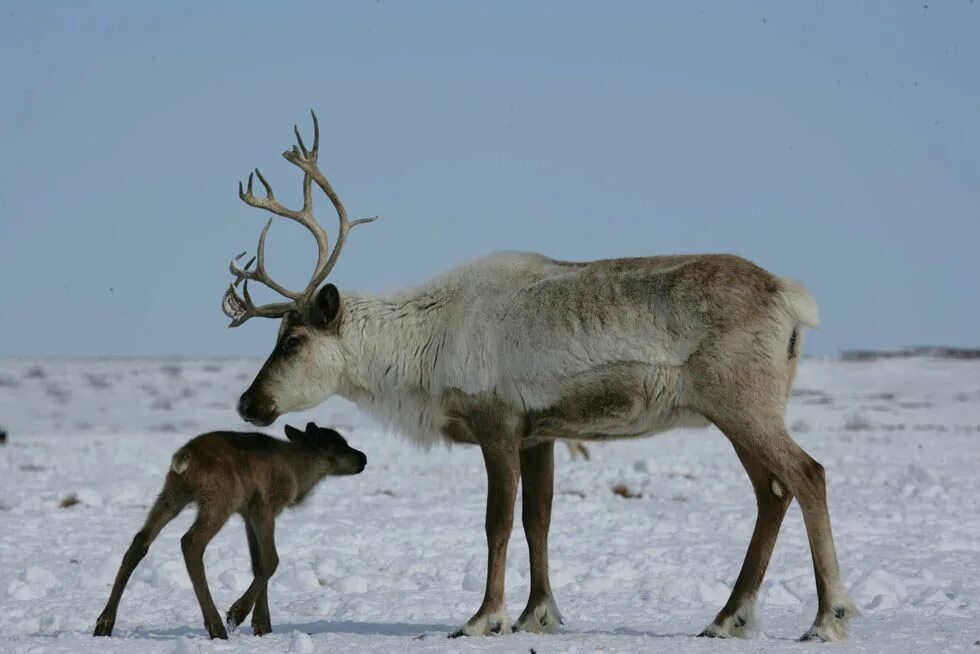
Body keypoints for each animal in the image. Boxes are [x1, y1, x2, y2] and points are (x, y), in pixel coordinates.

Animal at [93, 420, 364, 640]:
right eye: (339, 445)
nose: (363, 458)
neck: (299, 473)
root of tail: (186, 456)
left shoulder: (247, 514)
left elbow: (257, 563)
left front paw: (262, 625)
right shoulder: (265, 507)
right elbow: (271, 561)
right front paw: (238, 613)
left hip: (173, 493)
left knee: (140, 540)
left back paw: (104, 622)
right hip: (220, 499)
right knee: (190, 542)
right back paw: (216, 627)